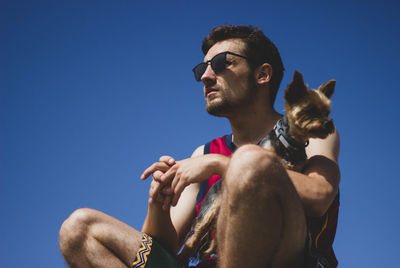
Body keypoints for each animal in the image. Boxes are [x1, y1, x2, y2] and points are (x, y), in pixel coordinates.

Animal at [178, 69, 334, 264]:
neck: (289, 143)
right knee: (194, 238)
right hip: (208, 212)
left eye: (327, 112)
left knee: (211, 247)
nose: (328, 123)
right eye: (310, 110)